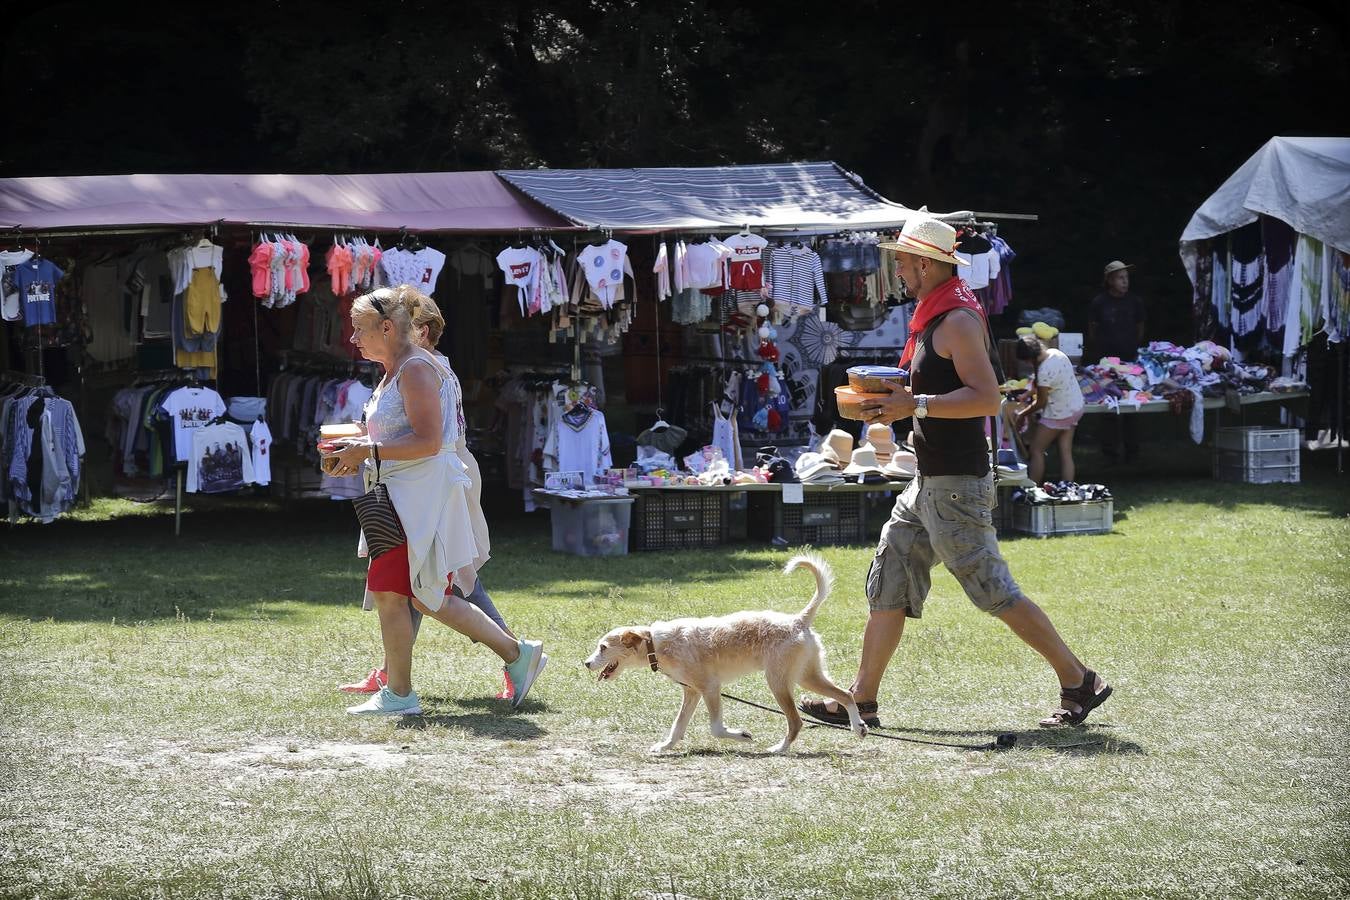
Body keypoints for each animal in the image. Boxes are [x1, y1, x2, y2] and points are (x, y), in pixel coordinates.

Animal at [585, 553, 869, 755]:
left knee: (796, 722)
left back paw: (779, 749)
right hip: (805, 676)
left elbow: (716, 728)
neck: (655, 642)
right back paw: (858, 727)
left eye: (603, 647)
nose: (586, 663)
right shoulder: (691, 692)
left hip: (778, 682)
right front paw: (665, 747)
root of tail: (798, 620)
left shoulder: (710, 688)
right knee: (845, 695)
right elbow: (678, 727)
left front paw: (741, 736)